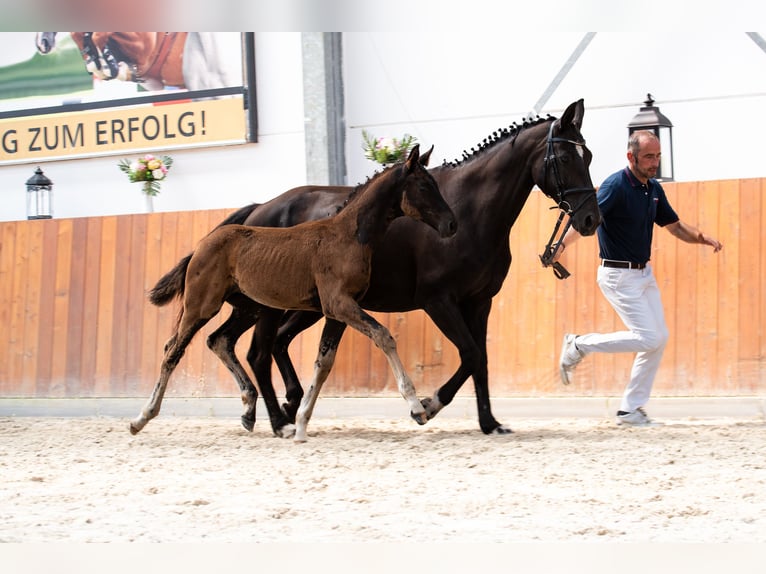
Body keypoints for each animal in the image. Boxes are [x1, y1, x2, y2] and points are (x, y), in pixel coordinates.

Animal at [150, 99, 604, 436]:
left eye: (589, 154)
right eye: (566, 156)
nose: (589, 219)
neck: (470, 212)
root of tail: (260, 209)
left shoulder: (479, 303)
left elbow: (482, 360)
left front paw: (490, 423)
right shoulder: (438, 301)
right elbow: (470, 354)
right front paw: (427, 405)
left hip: (281, 307)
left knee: (241, 343)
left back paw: (274, 408)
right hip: (270, 307)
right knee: (257, 351)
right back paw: (279, 419)